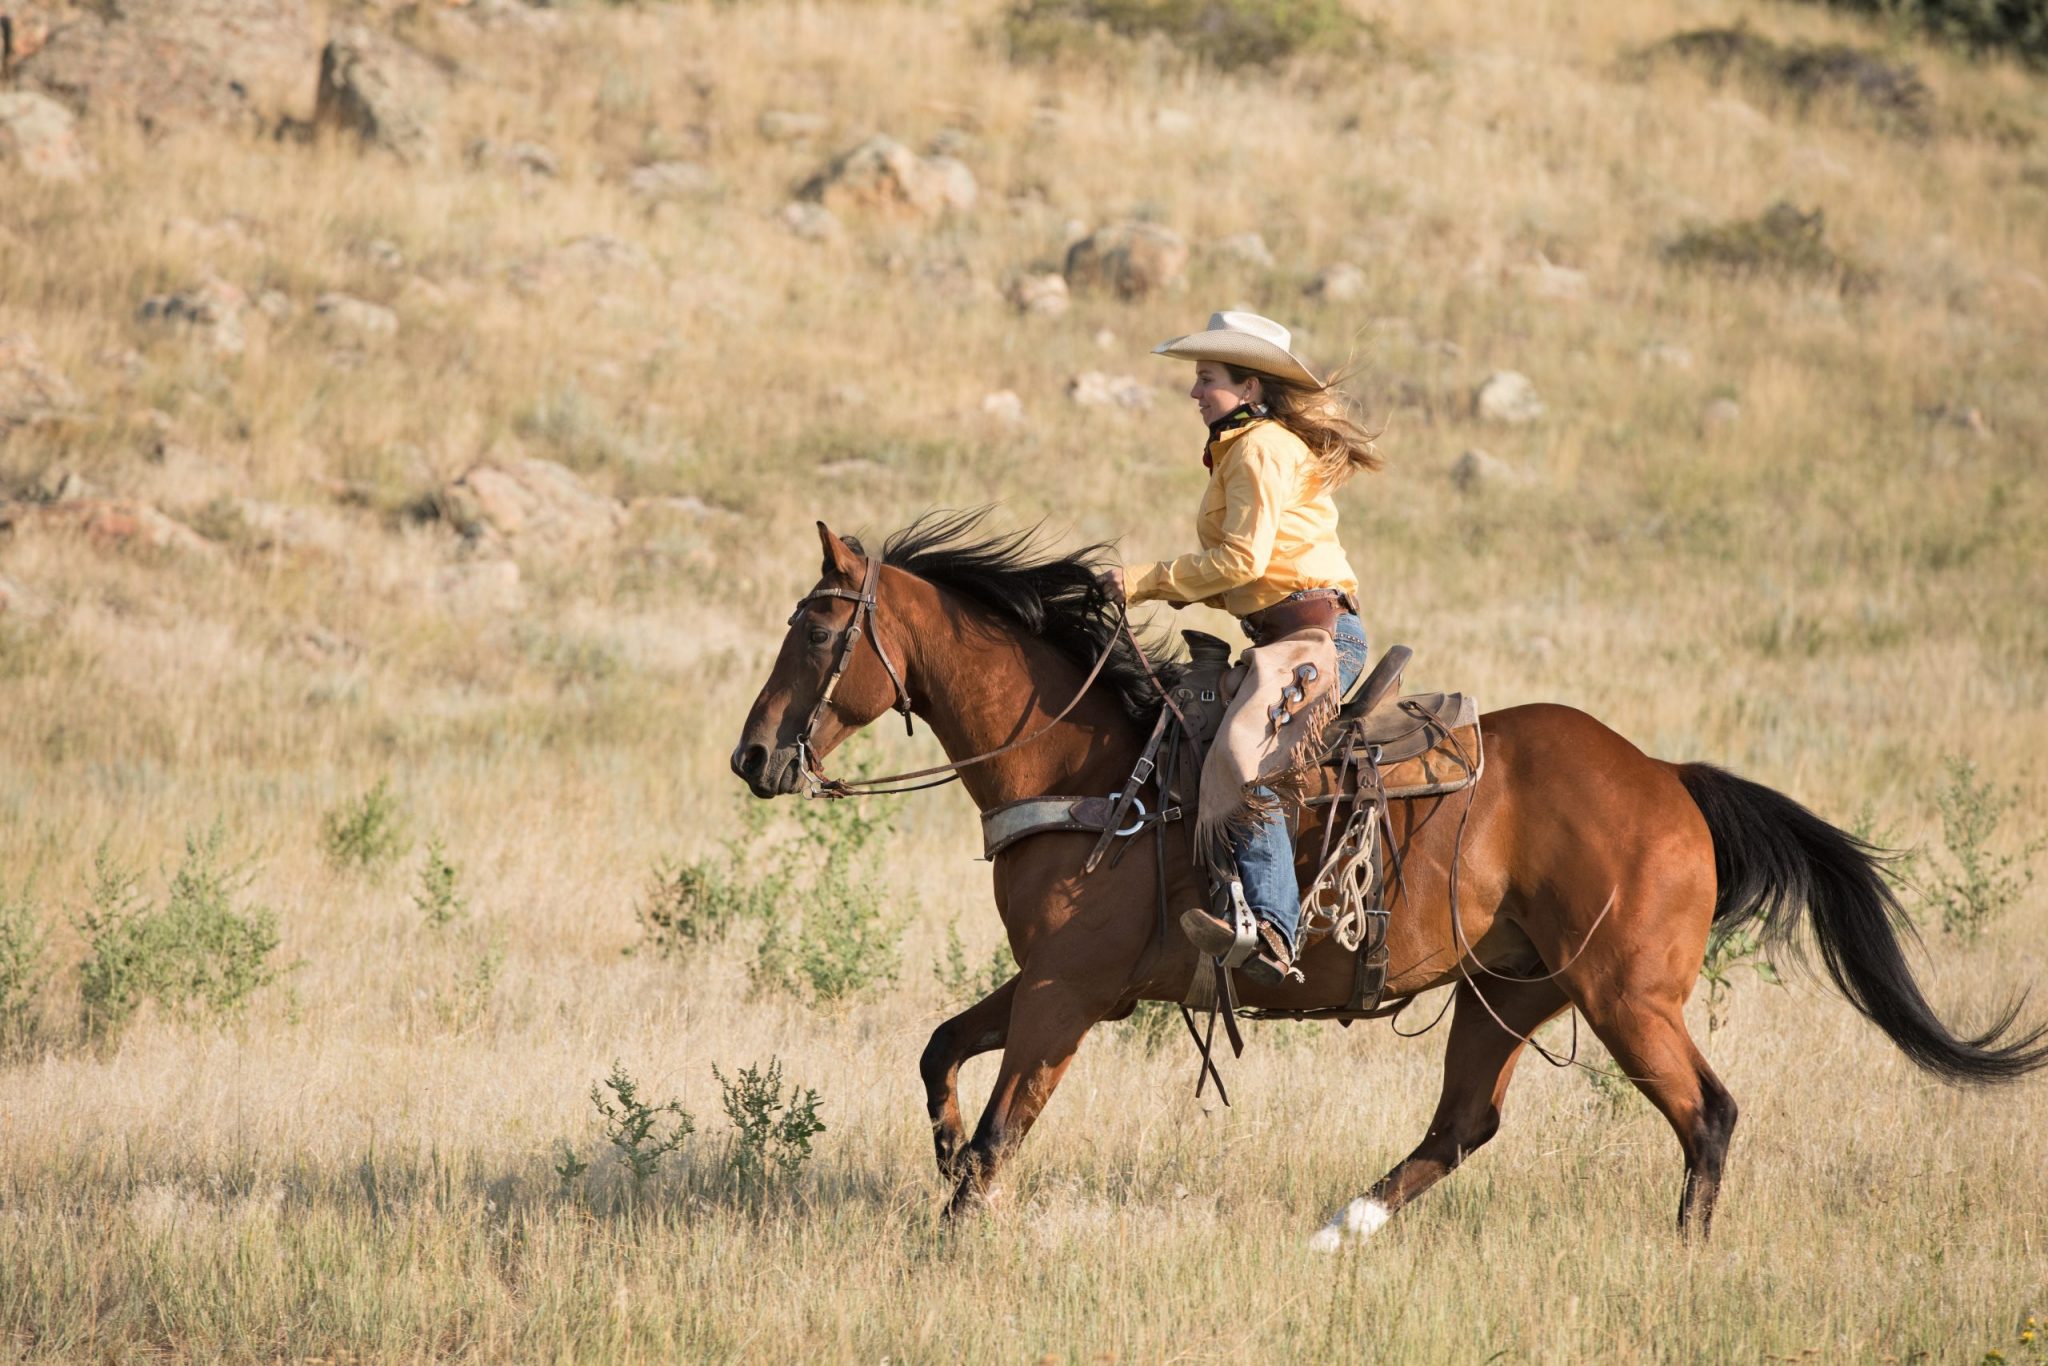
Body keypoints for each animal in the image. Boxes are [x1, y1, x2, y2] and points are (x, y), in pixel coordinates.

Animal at [729, 516, 2039, 1253]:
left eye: (816, 630)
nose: (752, 757)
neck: (1090, 764)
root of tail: (1666, 777)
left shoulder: (1068, 994)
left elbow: (1005, 1123)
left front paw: (950, 1239)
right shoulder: (1054, 981)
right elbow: (941, 1057)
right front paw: (947, 1168)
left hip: (1625, 999)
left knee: (1704, 1114)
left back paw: (1683, 1261)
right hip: (1507, 993)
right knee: (1462, 1124)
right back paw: (1334, 1231)